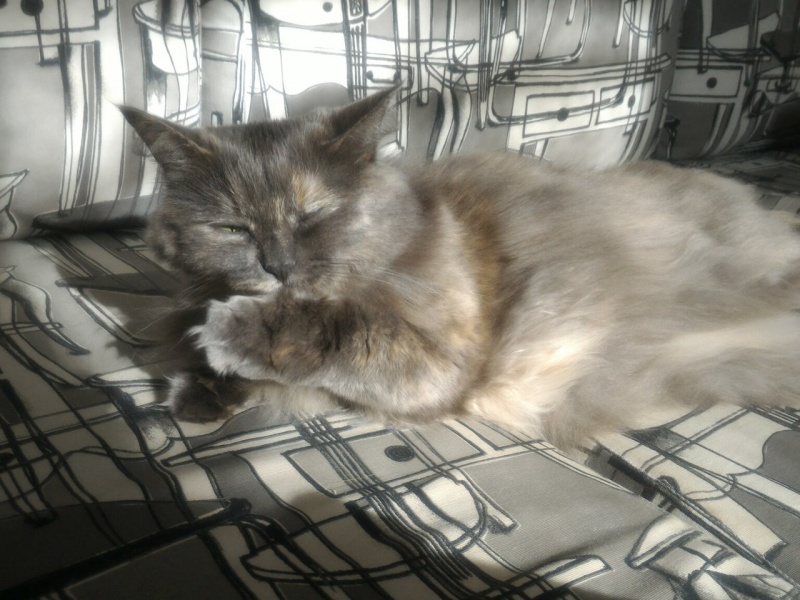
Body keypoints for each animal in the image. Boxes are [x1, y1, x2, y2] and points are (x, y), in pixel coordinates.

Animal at [121, 87, 800, 448]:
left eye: (313, 215)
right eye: (232, 228)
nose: (278, 268)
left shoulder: (443, 359)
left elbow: (339, 334)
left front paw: (232, 333)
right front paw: (200, 388)